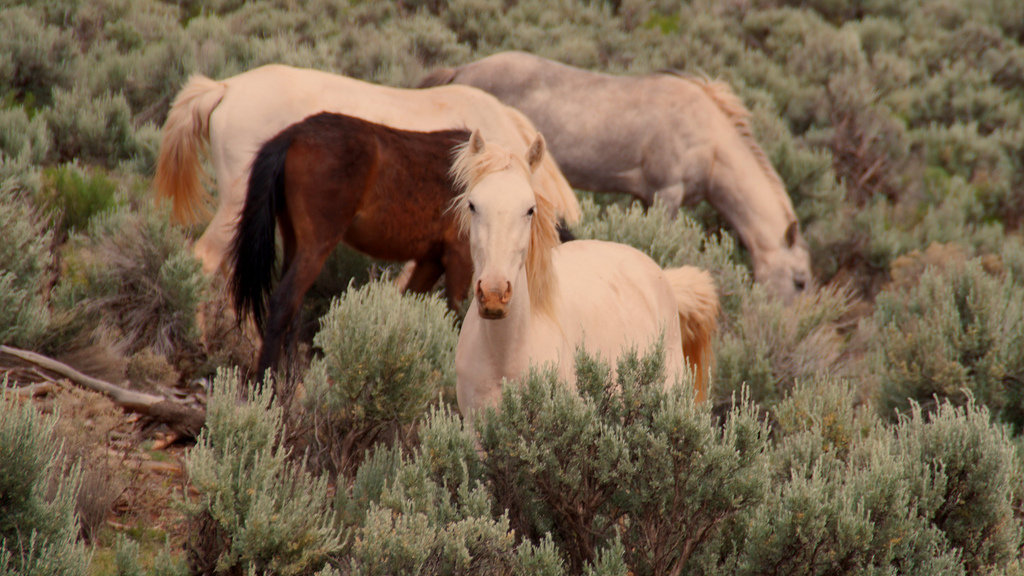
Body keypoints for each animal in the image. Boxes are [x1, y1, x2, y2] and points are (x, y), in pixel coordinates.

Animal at [228, 112, 472, 374]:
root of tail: (294, 134)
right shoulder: (460, 257)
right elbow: (458, 318)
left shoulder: (431, 261)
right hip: (316, 246)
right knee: (283, 303)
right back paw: (267, 379)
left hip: (295, 242)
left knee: (293, 309)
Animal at [419, 51, 812, 303]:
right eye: (800, 281)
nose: (784, 323)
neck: (709, 137)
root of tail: (460, 70)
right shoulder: (668, 192)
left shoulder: (645, 196)